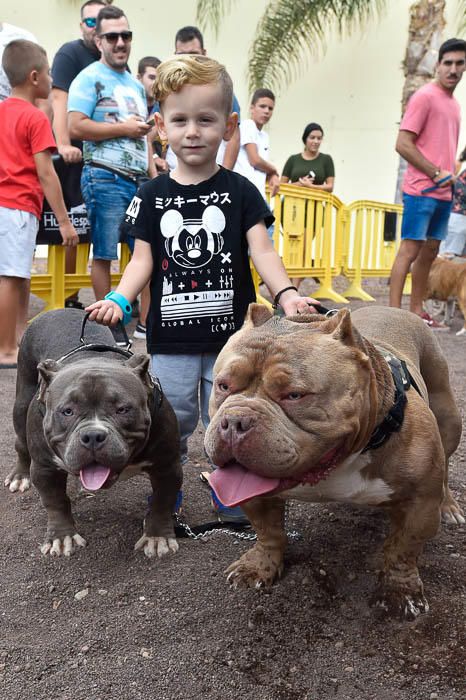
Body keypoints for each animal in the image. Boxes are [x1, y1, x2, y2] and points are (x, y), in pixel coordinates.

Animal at [206, 304, 464, 620]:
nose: (234, 421)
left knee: (447, 463)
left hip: (448, 417)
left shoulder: (420, 503)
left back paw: (449, 506)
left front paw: (400, 591)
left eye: (294, 395)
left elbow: (402, 548)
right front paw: (258, 566)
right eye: (223, 385)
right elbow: (268, 532)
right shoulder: (257, 498)